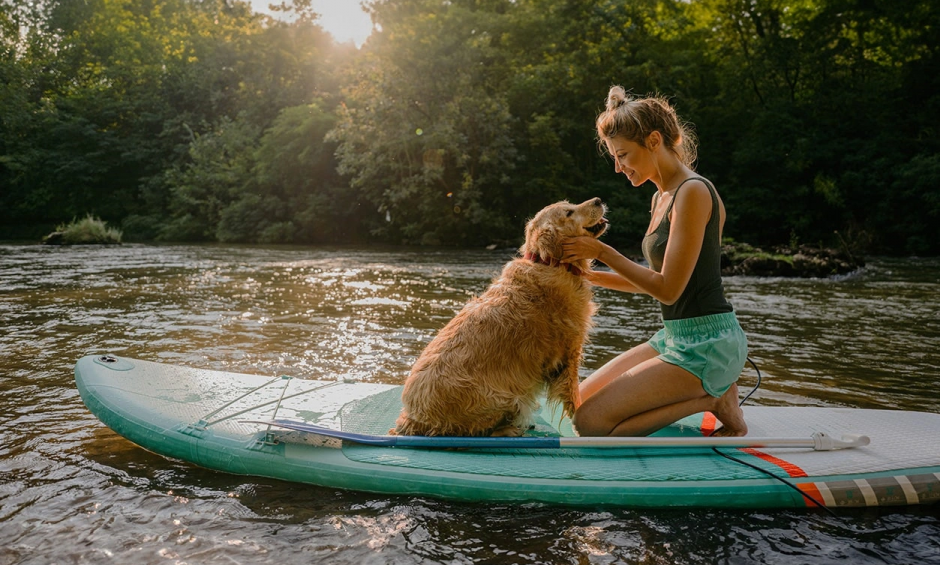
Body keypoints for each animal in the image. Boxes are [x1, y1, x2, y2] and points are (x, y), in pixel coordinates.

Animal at [392, 198, 604, 436]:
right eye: (569, 212)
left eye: (571, 205)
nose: (598, 200)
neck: (550, 262)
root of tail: (411, 419)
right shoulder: (569, 353)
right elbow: (575, 400)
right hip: (503, 395)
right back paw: (513, 428)